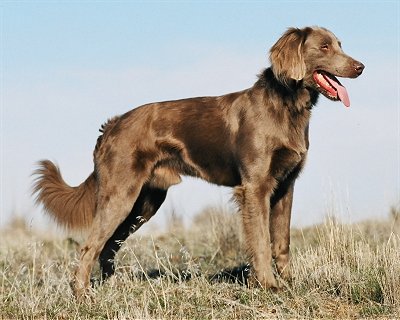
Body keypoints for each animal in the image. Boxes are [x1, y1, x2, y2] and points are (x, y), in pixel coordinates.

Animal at [32, 26, 364, 298]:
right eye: (324, 47)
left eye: (340, 44)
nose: (360, 67)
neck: (286, 105)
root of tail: (111, 126)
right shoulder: (254, 188)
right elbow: (261, 241)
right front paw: (269, 285)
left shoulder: (285, 186)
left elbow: (281, 242)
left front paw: (290, 283)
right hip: (121, 195)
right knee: (91, 245)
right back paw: (81, 294)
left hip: (144, 202)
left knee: (108, 245)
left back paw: (111, 287)